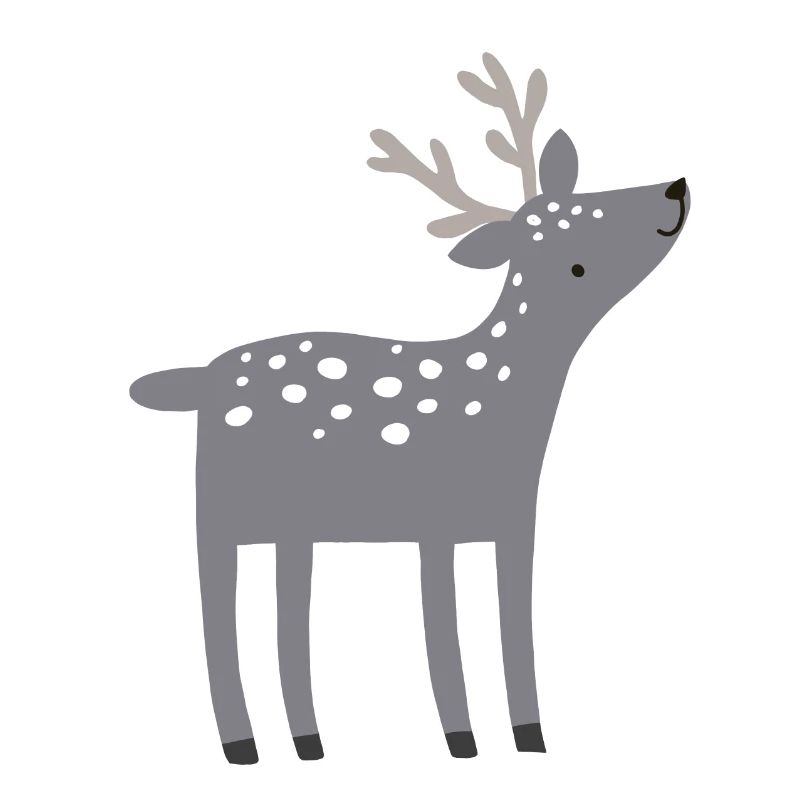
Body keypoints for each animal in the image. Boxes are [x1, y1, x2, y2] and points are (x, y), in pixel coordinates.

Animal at [130, 53, 690, 764]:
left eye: (592, 197)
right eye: (578, 263)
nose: (674, 188)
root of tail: (198, 379)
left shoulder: (512, 520)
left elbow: (513, 620)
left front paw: (528, 739)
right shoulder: (435, 518)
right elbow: (442, 627)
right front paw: (465, 741)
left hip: (291, 525)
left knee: (286, 618)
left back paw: (308, 742)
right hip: (218, 512)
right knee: (215, 614)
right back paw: (242, 747)